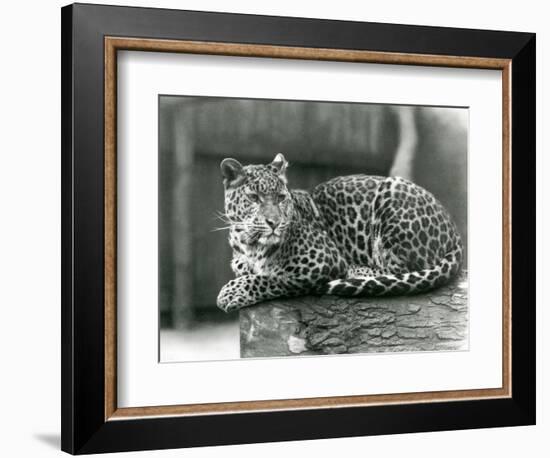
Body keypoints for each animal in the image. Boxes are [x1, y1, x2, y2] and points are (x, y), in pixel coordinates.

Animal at [217, 152, 466, 314]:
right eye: (254, 198)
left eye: (280, 197)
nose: (274, 223)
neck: (249, 244)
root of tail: (454, 230)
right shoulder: (240, 261)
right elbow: (251, 270)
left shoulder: (321, 262)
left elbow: (272, 277)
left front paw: (231, 292)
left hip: (392, 193)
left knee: (400, 271)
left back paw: (356, 270)